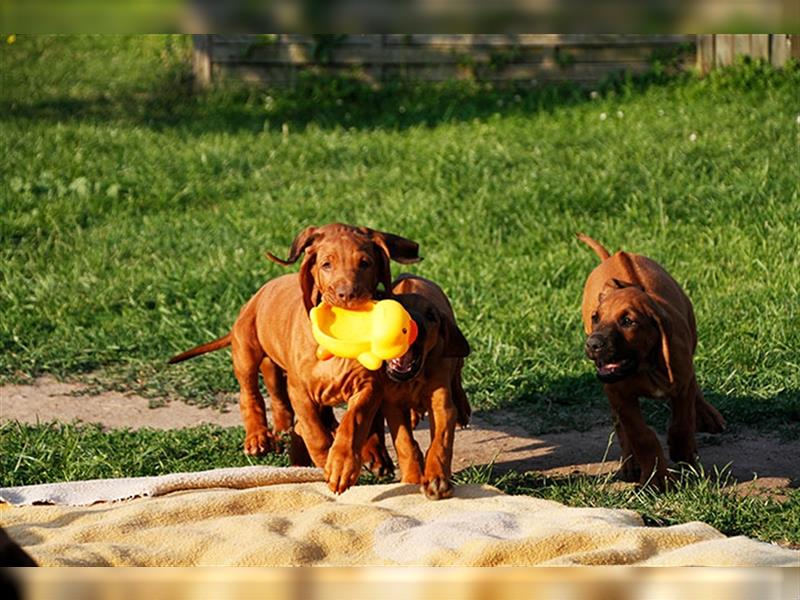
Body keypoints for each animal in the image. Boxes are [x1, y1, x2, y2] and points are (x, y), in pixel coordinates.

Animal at [169, 225, 418, 492]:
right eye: (326, 264)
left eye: (365, 263)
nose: (347, 294)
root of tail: (260, 292)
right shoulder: (300, 391)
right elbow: (315, 434)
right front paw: (326, 461)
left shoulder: (368, 386)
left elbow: (355, 422)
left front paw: (342, 463)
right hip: (246, 350)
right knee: (250, 393)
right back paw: (258, 436)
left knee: (281, 399)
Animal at [380, 274, 468, 500]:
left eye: (430, 316)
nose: (412, 324)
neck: (413, 377)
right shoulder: (391, 405)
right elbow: (404, 443)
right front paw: (411, 477)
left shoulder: (441, 406)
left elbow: (440, 443)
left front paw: (437, 479)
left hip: (455, 357)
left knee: (457, 379)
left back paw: (464, 411)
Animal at [576, 234, 724, 488]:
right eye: (596, 318)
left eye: (627, 321)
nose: (592, 345)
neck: (646, 366)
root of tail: (614, 256)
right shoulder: (620, 395)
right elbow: (641, 435)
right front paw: (657, 480)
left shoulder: (682, 382)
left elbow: (683, 422)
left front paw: (683, 453)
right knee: (620, 425)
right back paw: (630, 464)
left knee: (694, 386)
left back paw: (707, 415)